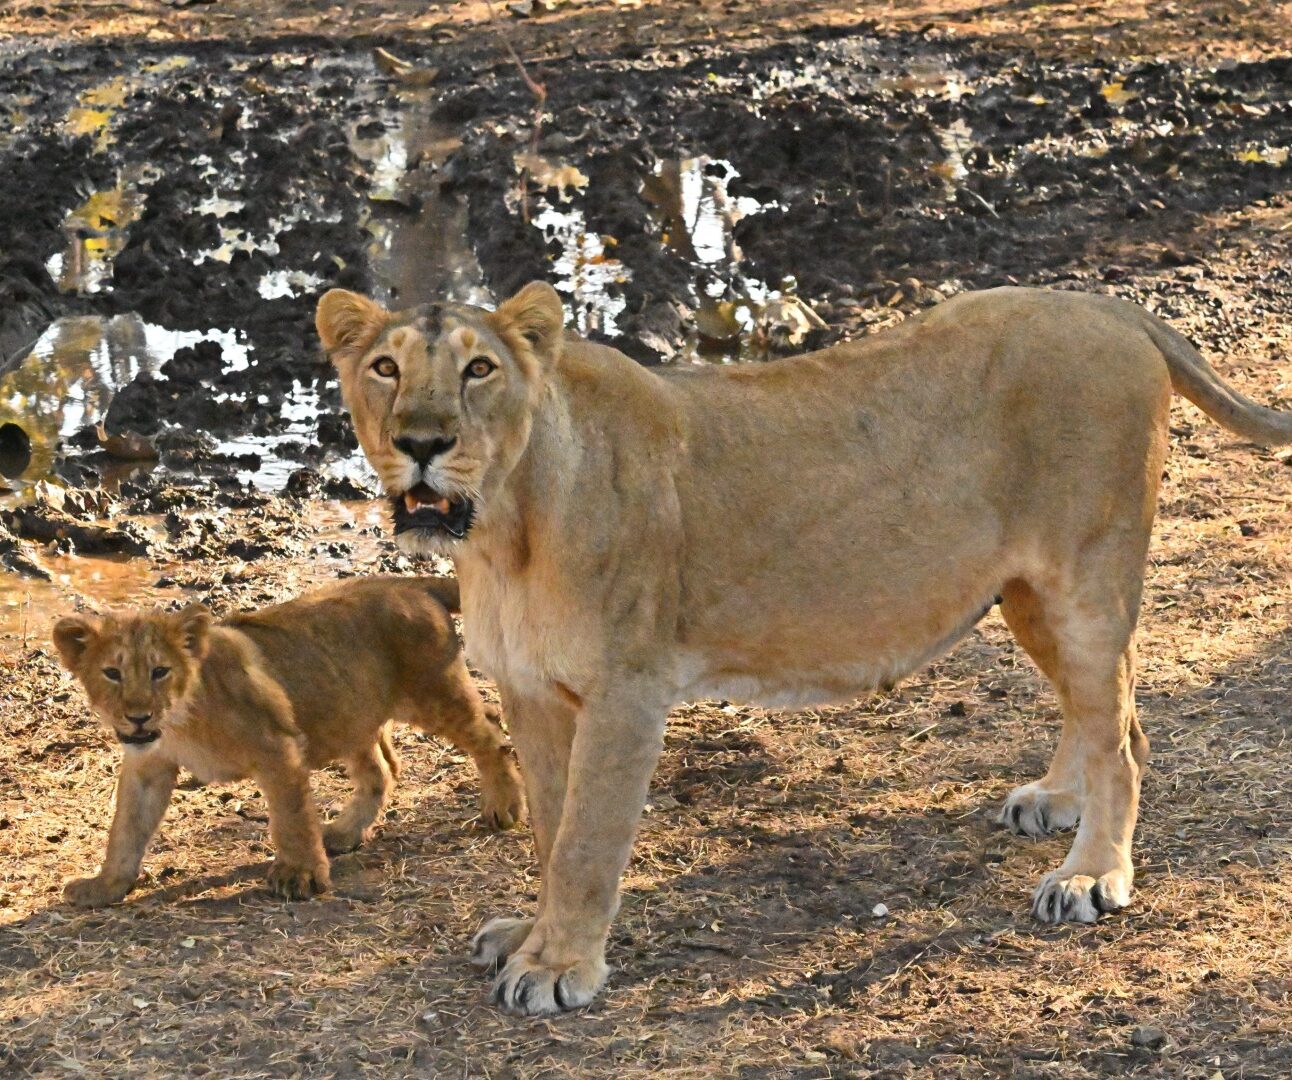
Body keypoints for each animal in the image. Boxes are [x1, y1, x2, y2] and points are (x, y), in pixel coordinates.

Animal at [53, 577, 524, 906]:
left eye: (159, 671)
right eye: (112, 673)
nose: (137, 717)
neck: (180, 720)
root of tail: (412, 584)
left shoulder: (277, 747)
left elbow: (290, 818)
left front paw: (300, 876)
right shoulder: (149, 766)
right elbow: (126, 828)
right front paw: (105, 886)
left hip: (434, 695)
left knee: (491, 735)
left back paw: (503, 807)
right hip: (348, 712)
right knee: (381, 770)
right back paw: (344, 833)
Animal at [315, 281, 1291, 1016]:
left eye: (479, 369)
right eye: (384, 368)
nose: (422, 443)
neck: (504, 529)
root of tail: (1107, 305)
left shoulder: (626, 692)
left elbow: (587, 843)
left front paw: (560, 969)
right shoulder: (533, 692)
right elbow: (552, 833)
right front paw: (533, 934)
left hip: (1084, 577)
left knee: (1122, 735)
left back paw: (1092, 875)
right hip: (1026, 594)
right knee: (1109, 717)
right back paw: (1056, 799)